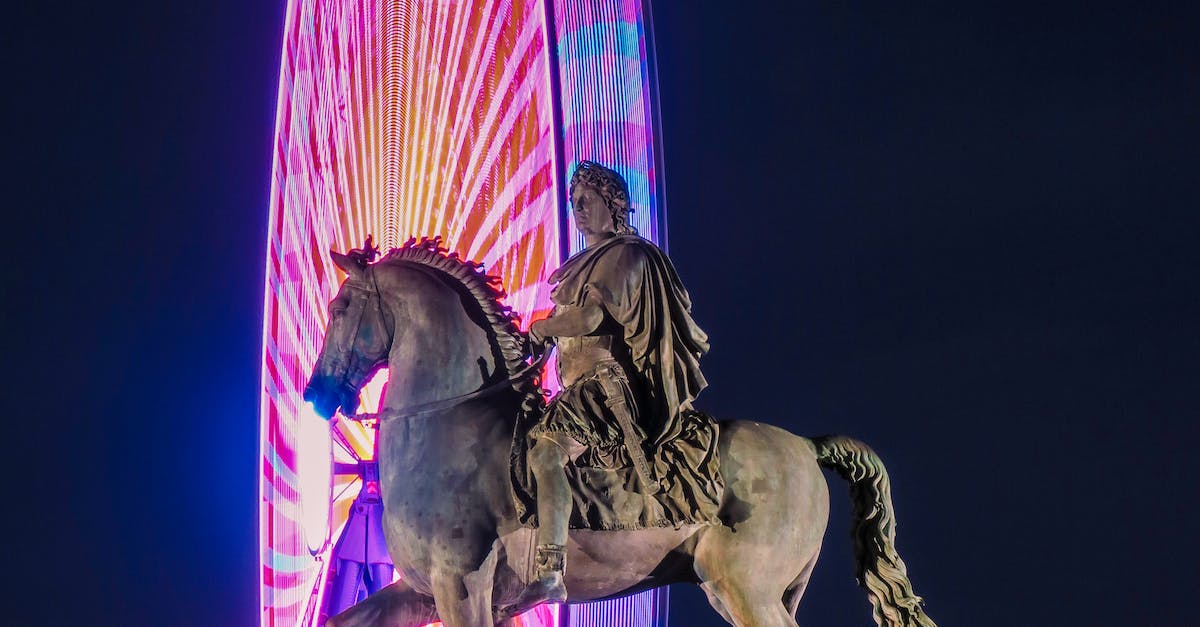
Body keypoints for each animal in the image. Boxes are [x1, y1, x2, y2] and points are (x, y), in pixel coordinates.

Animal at [302, 236, 936, 619]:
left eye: (339, 308)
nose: (316, 394)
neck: (451, 419)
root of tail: (806, 445)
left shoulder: (462, 587)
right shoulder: (421, 591)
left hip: (744, 586)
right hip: (758, 591)